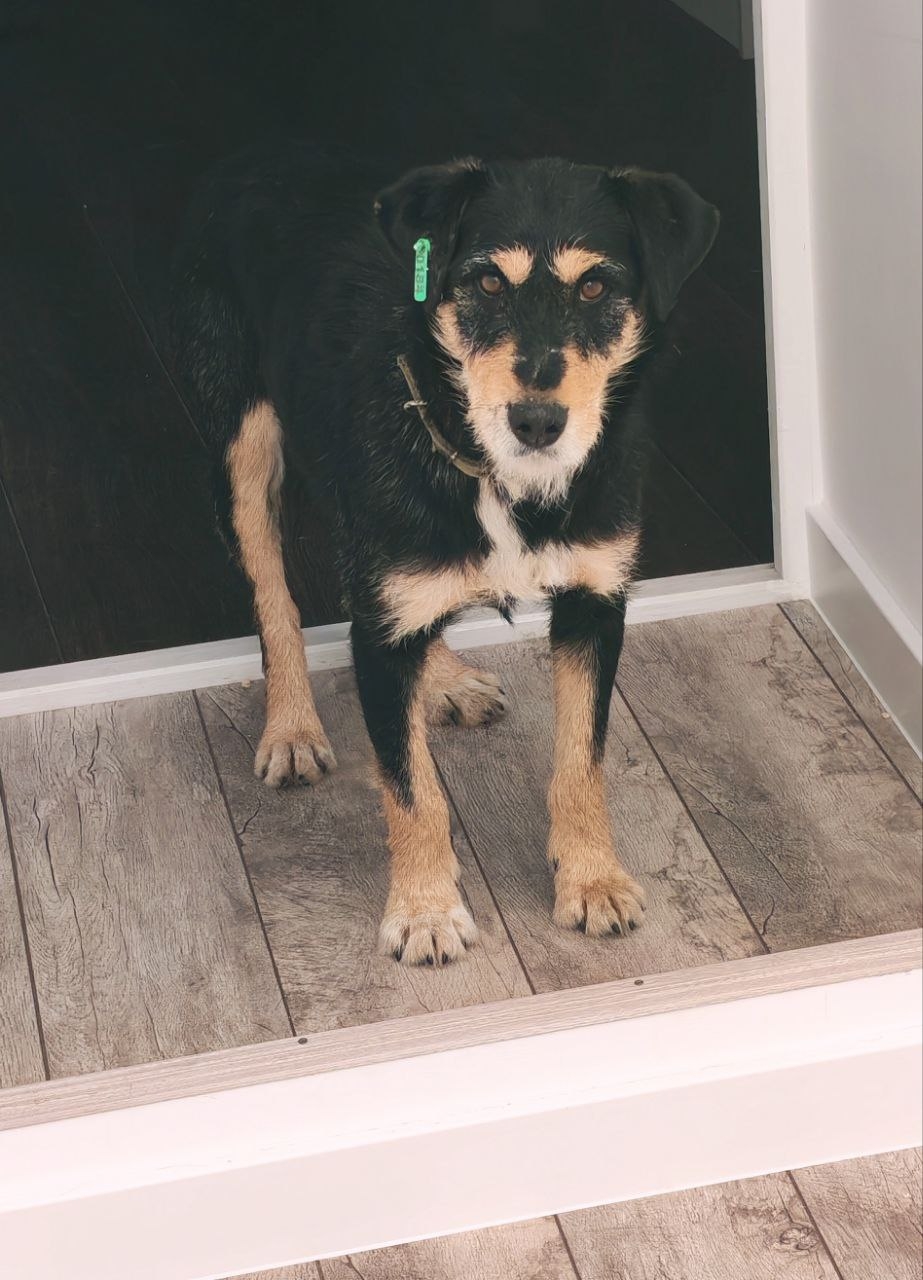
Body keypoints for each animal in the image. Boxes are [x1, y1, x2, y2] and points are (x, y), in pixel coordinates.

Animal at [171, 144, 719, 966]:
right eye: (487, 282)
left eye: (595, 286)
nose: (537, 422)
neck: (491, 468)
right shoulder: (379, 625)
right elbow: (411, 789)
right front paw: (426, 911)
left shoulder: (595, 603)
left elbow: (581, 760)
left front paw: (590, 879)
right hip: (242, 443)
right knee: (273, 593)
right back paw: (292, 726)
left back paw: (448, 679)